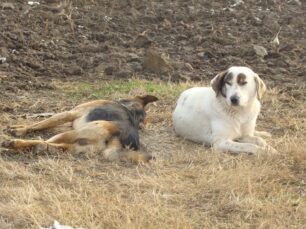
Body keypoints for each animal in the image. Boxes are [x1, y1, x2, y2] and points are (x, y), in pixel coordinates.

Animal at [0, 94, 158, 163]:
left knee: (44, 141)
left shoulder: (71, 113)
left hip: (73, 132)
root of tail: (119, 141)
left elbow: (40, 124)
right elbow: (41, 125)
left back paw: (13, 143)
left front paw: (20, 129)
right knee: (48, 145)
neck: (131, 109)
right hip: (76, 144)